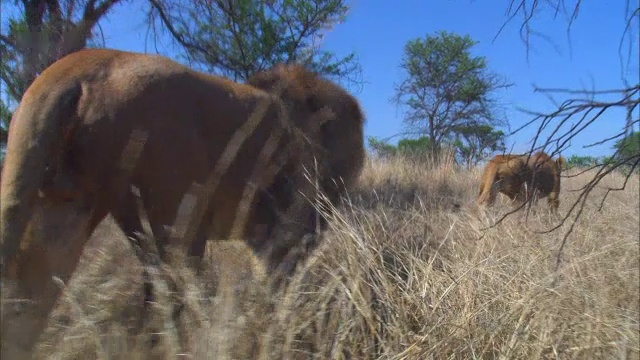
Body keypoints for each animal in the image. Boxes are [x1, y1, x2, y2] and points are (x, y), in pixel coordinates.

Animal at [0, 48, 362, 360]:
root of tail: (78, 68)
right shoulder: (292, 229)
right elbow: (276, 291)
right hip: (177, 222)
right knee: (165, 299)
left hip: (64, 209)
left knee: (28, 296)